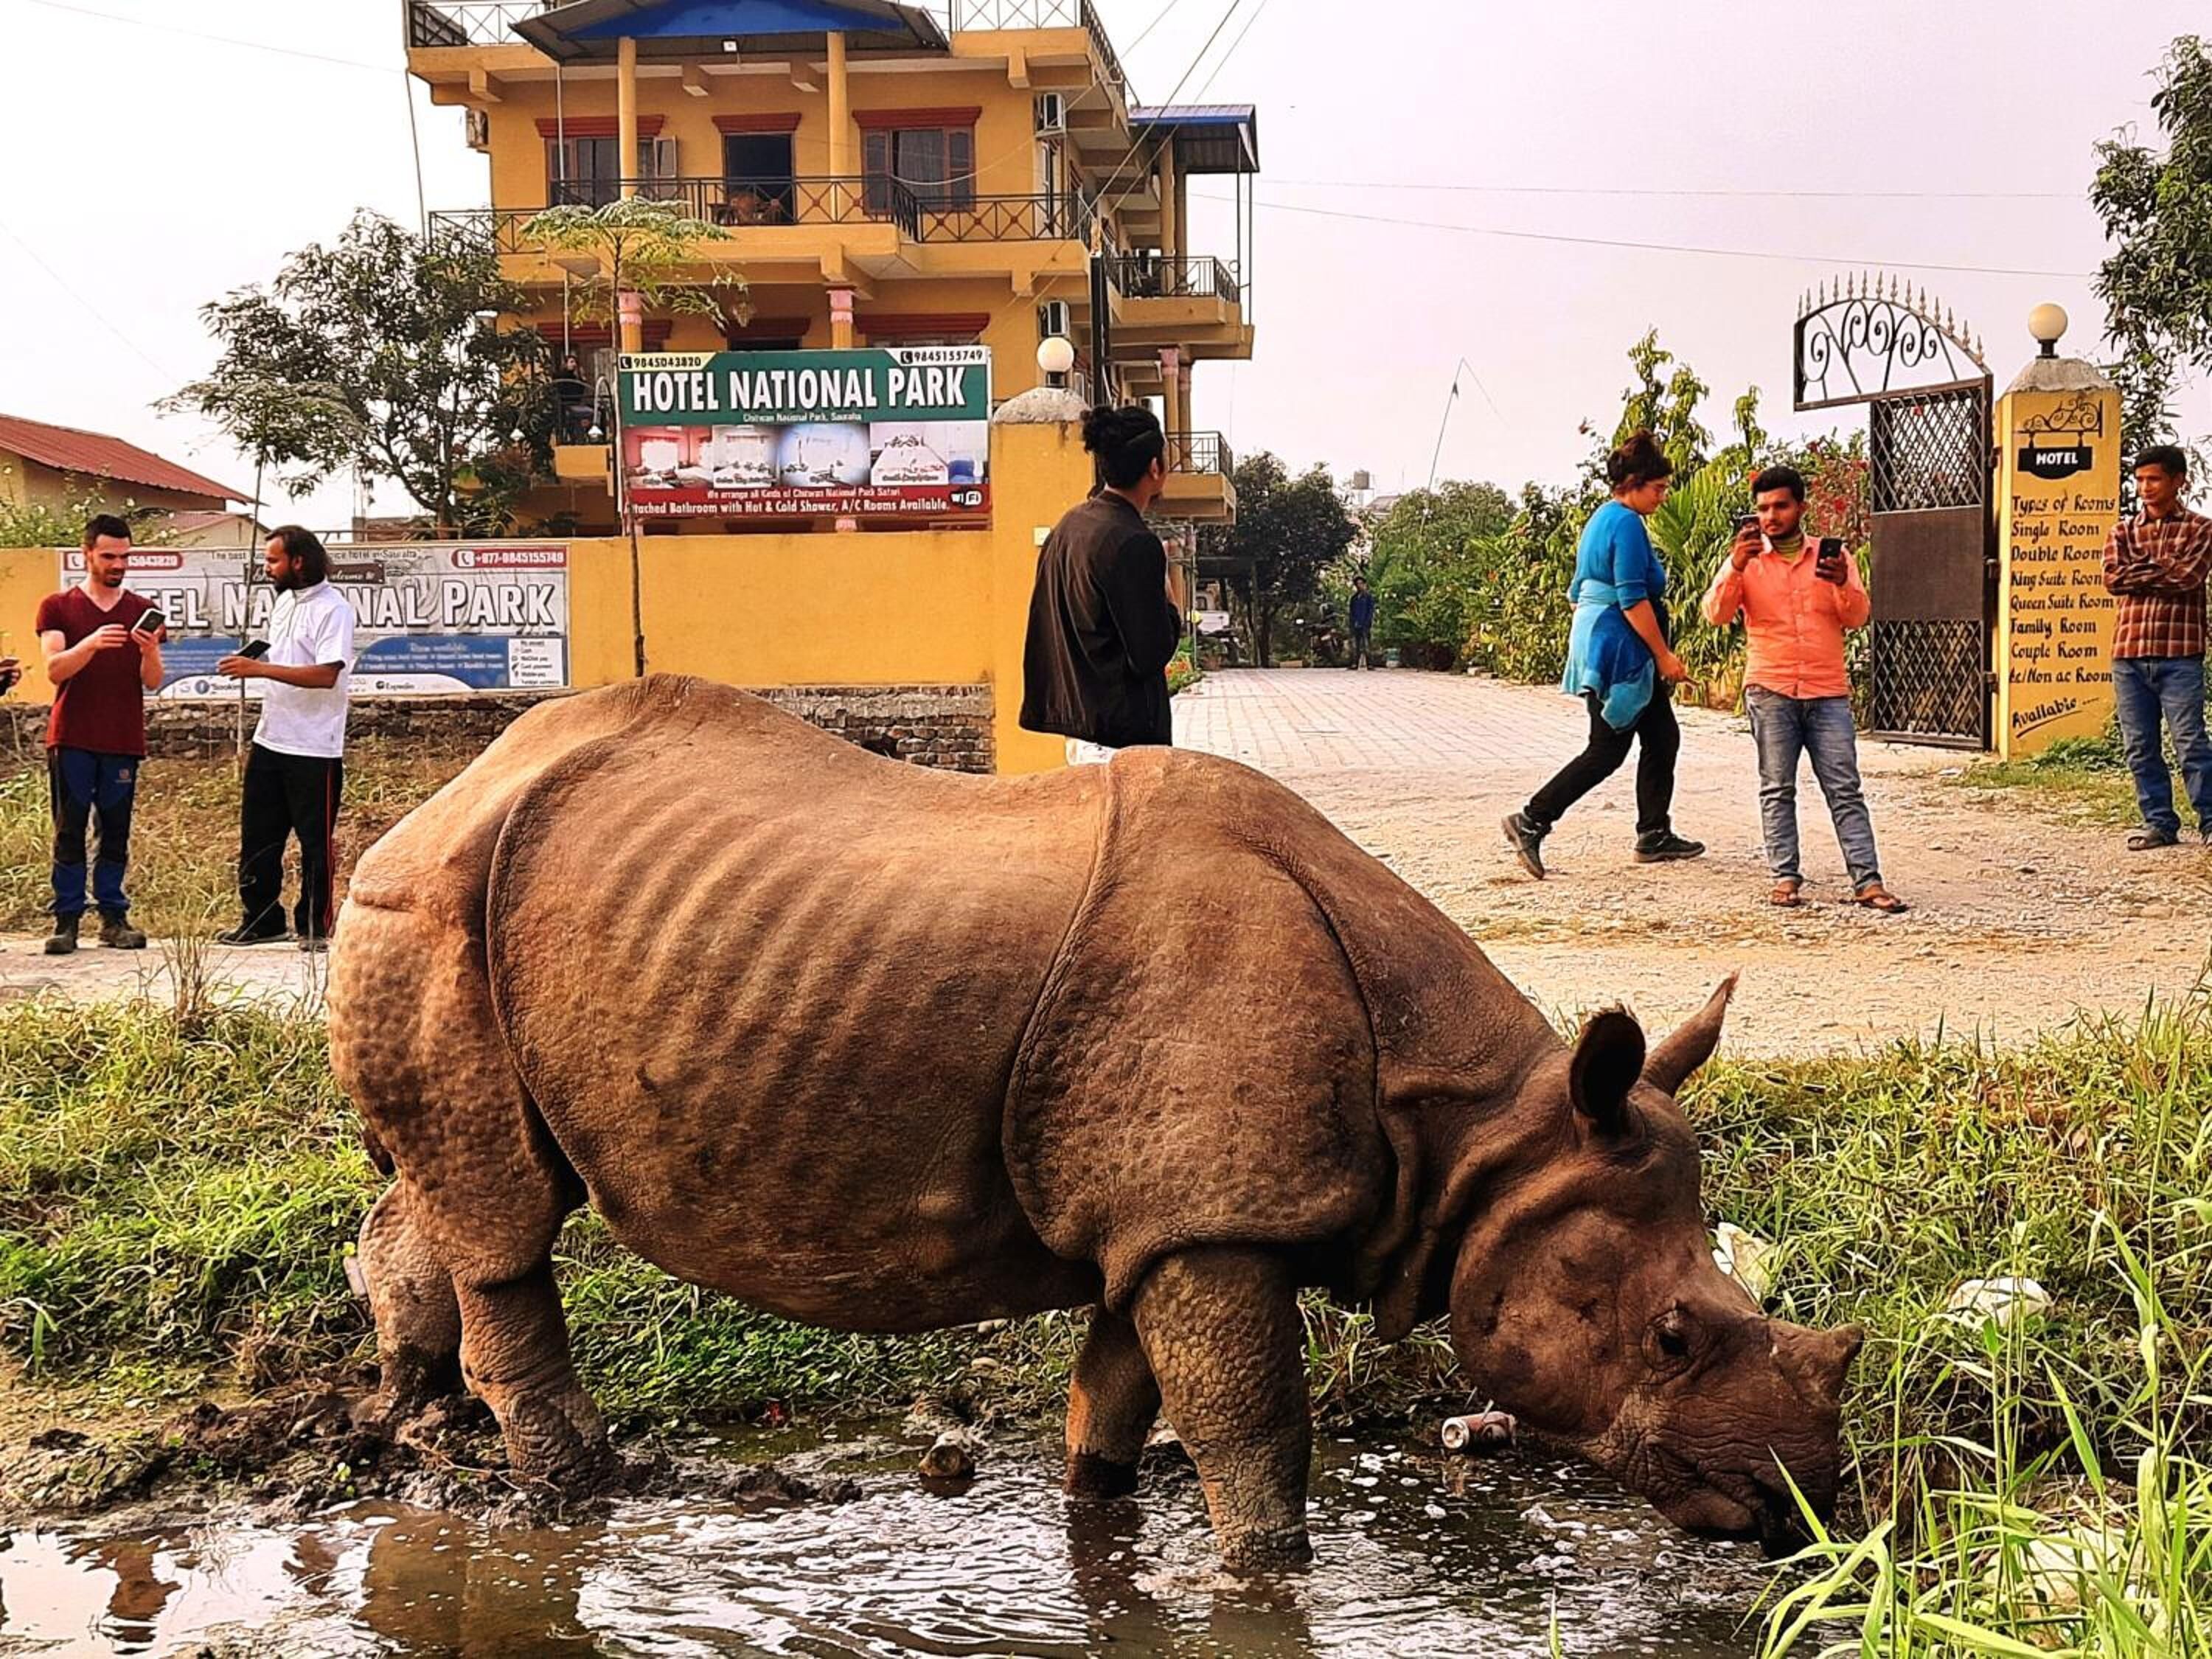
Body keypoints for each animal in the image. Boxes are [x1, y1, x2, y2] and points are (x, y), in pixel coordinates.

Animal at [328, 677, 1859, 1568]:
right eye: (1673, 1336)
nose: (1805, 1506)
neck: (1482, 1140)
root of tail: (426, 805)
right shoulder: (1213, 1220)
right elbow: (1255, 1429)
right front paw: (1266, 1573)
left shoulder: (1166, 1217)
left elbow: (1116, 1395)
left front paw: (1096, 1517)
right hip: (433, 905)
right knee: (504, 1217)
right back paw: (575, 1495)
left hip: (467, 905)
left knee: (445, 1192)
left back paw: (412, 1423)